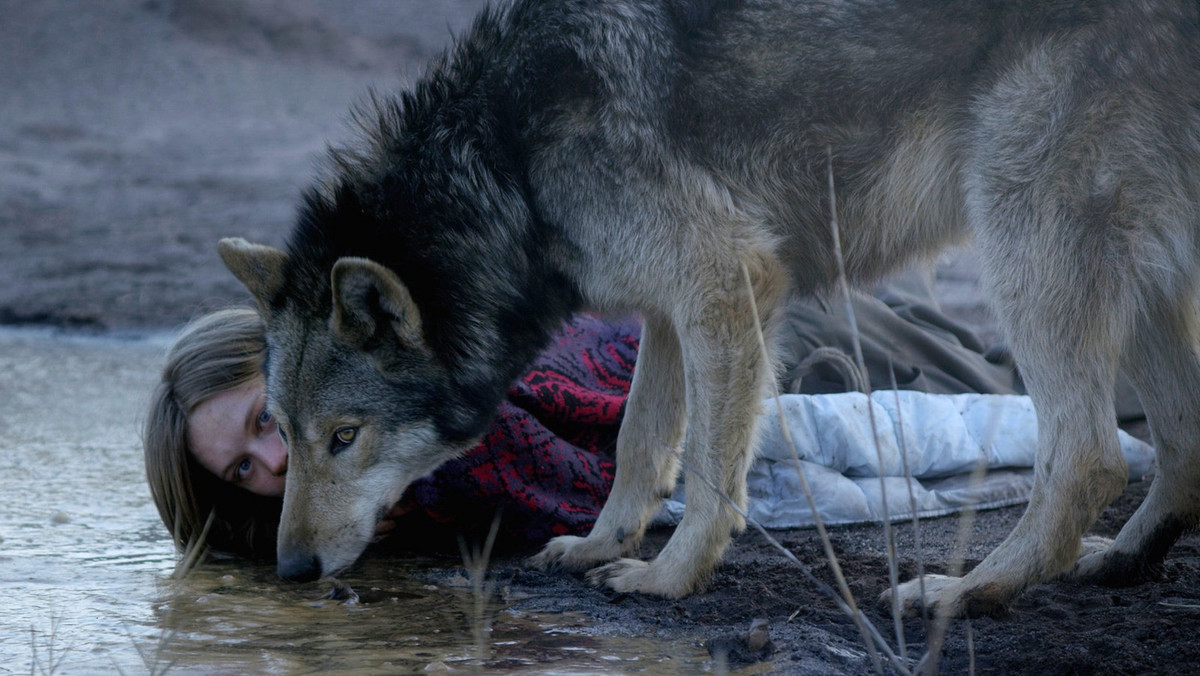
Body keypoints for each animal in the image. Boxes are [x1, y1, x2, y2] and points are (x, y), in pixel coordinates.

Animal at [220, 0, 1200, 609]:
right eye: (282, 431)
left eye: (344, 438)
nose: (291, 567)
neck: (508, 158)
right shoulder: (668, 309)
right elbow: (639, 443)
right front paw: (603, 546)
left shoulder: (728, 279)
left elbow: (705, 469)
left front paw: (669, 579)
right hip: (1131, 282)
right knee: (1178, 445)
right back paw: (1119, 561)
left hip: (1022, 248)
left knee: (1090, 458)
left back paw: (967, 593)